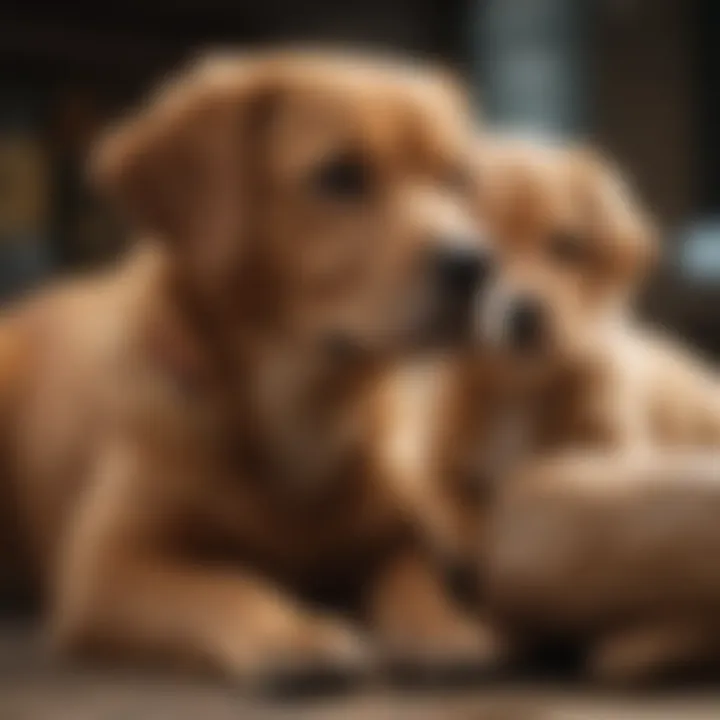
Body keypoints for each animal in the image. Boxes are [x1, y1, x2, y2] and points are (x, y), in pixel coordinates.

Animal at [0, 50, 498, 688]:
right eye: (341, 176)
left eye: (457, 178)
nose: (475, 265)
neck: (301, 407)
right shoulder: (105, 569)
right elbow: (224, 583)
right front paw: (290, 634)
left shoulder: (397, 531)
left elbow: (413, 572)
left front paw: (442, 629)